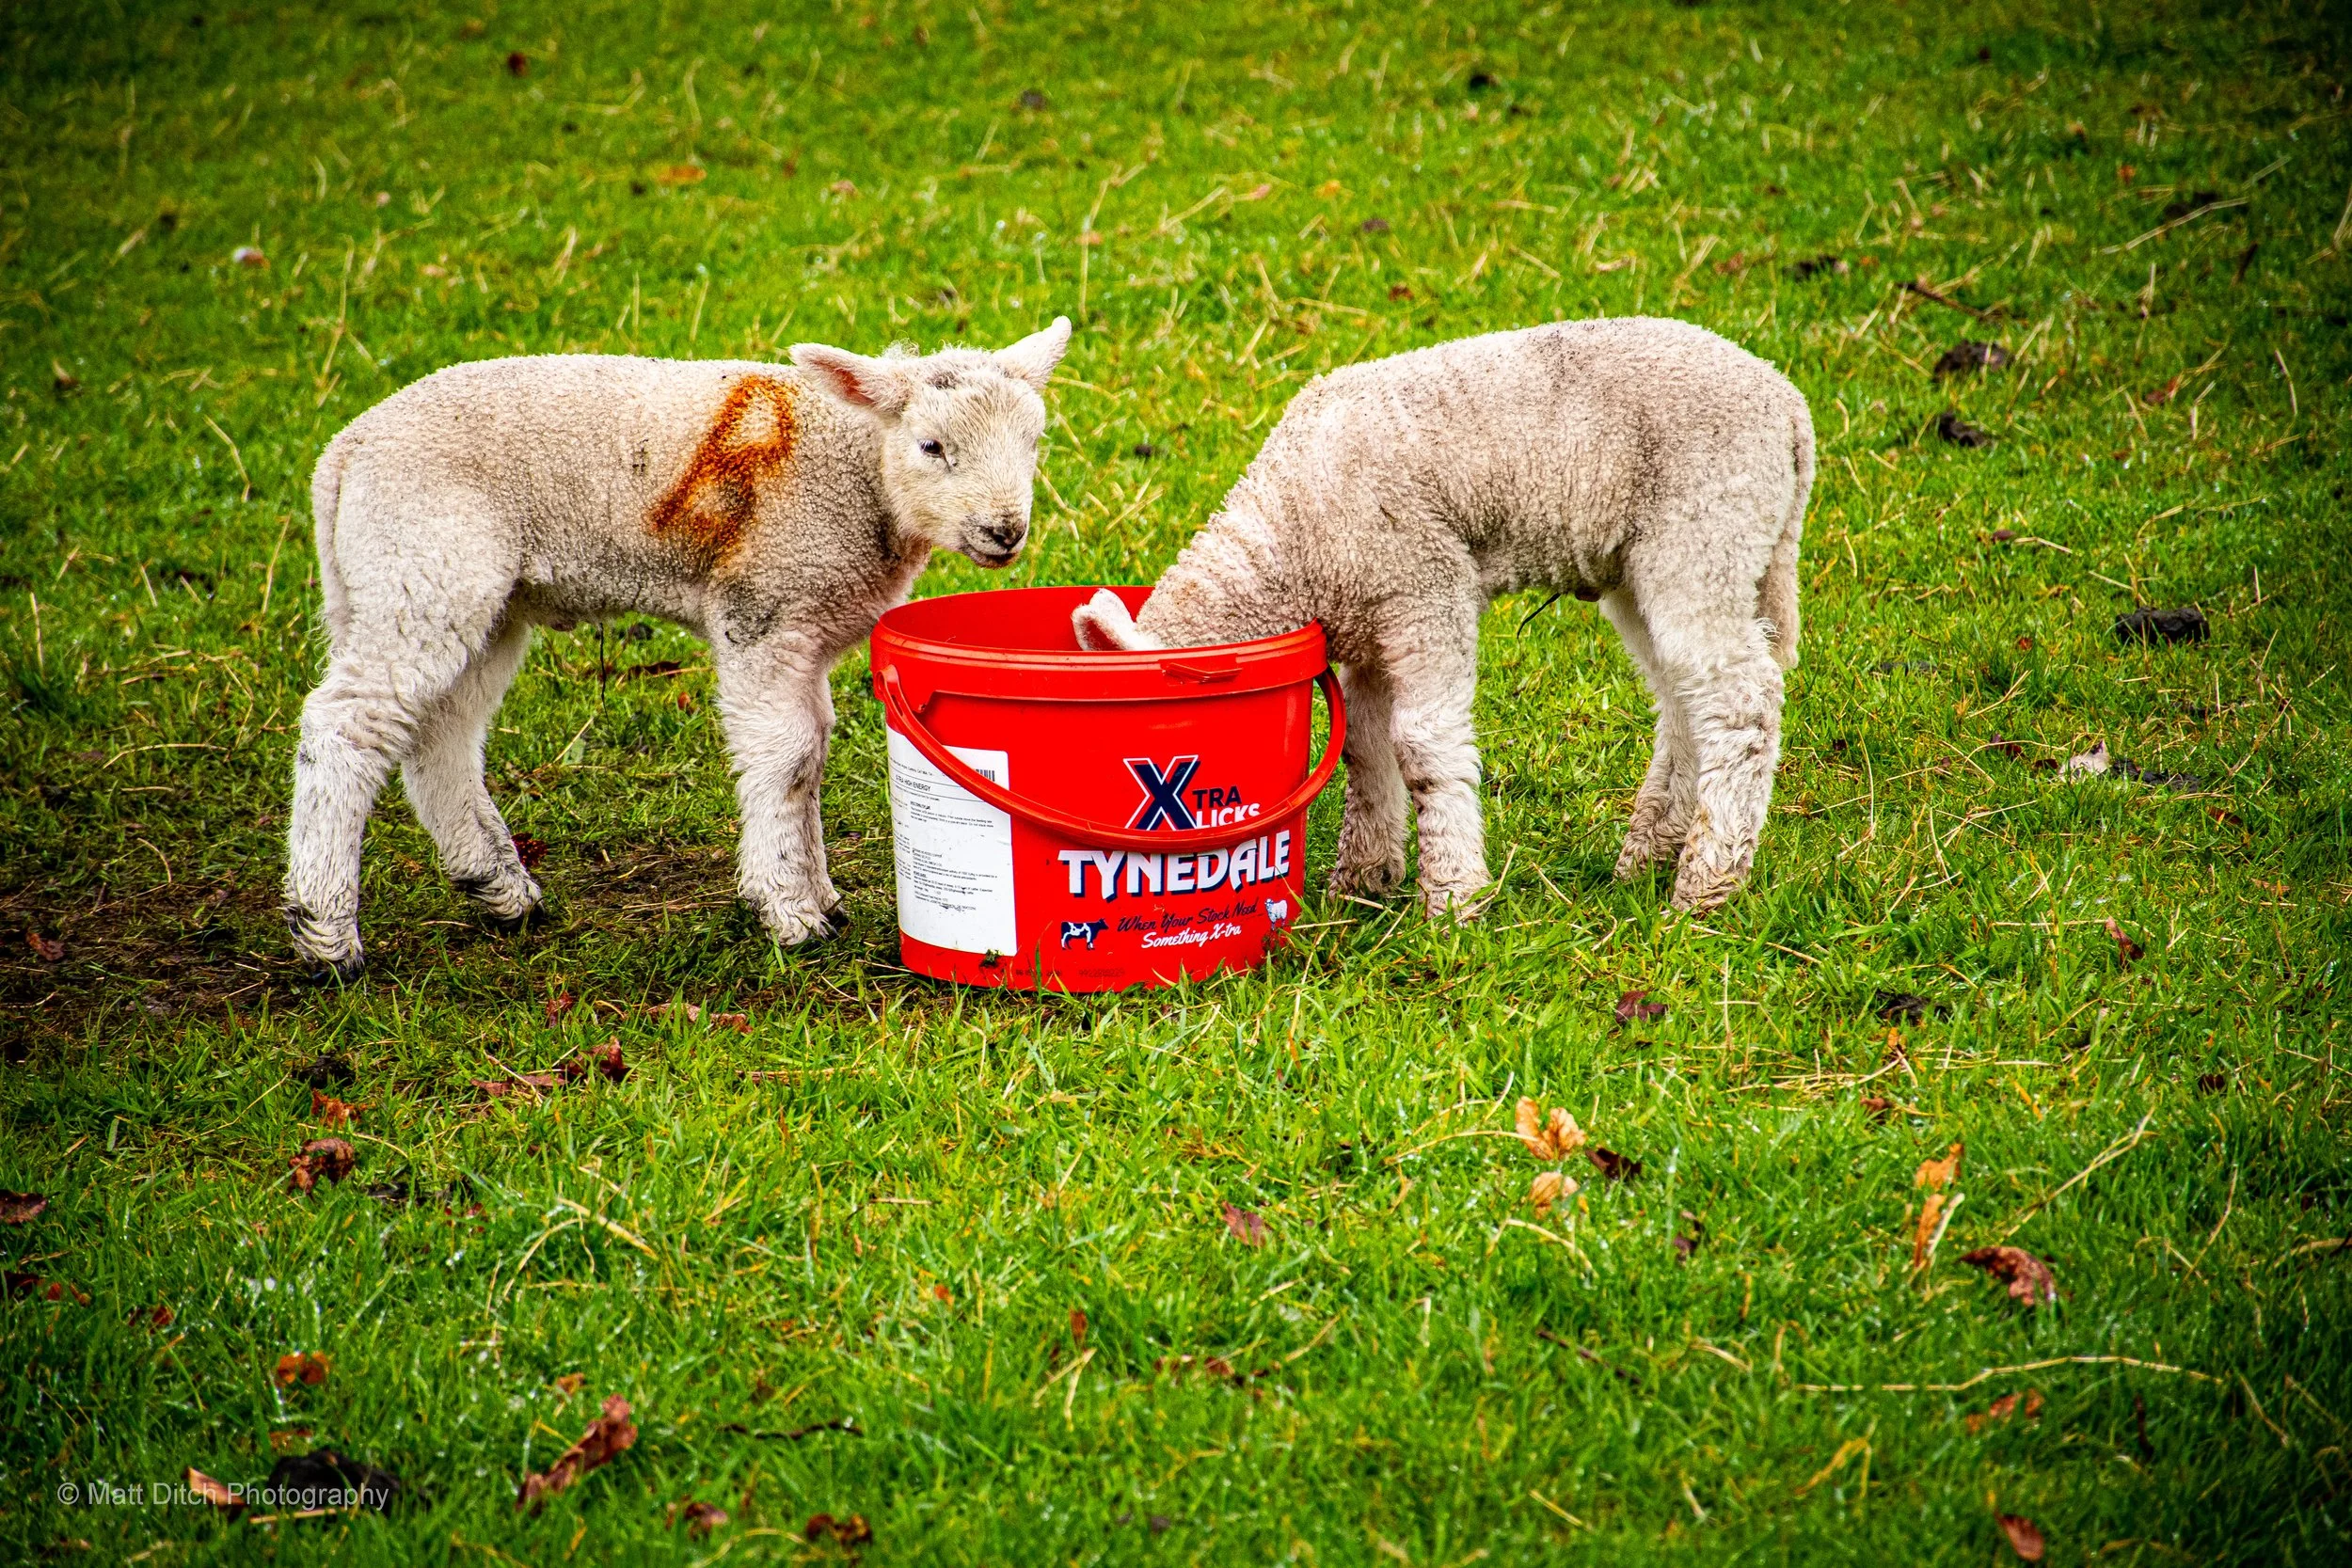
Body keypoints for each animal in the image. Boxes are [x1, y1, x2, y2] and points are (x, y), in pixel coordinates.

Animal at [285, 319, 1071, 979]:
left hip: (467, 593)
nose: (1006, 531)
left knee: (439, 733)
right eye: (932, 446)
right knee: (347, 724)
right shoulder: (763, 609)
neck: (854, 470)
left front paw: (820, 892)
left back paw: (499, 887)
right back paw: (327, 932)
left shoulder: (808, 626)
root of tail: (341, 456)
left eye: (1033, 443)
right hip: (423, 563)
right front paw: (787, 911)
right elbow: (785, 755)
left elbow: (812, 753)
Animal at [1074, 316, 1811, 917]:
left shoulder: (1424, 586)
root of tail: (1787, 404)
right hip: (1642, 564)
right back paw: (1650, 852)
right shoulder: (1370, 625)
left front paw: (1454, 896)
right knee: (1682, 697)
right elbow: (1363, 748)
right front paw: (1363, 879)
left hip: (1706, 530)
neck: (1292, 543)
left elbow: (1422, 745)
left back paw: (1707, 882)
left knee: (1740, 699)